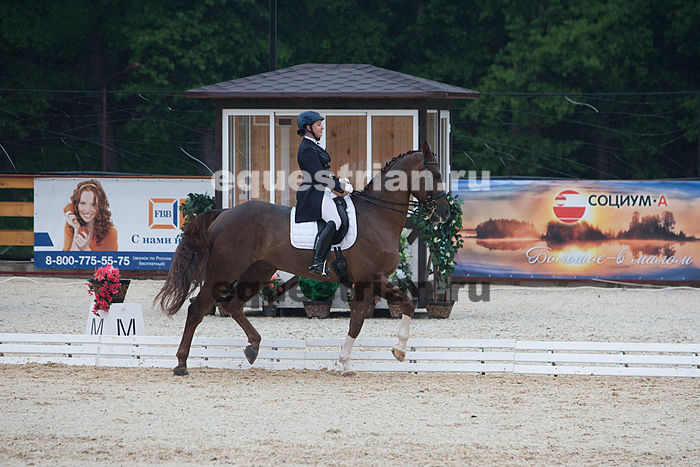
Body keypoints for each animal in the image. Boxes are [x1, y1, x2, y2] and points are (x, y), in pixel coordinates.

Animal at [155, 142, 450, 376]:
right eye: (435, 175)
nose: (444, 213)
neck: (377, 215)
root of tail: (225, 213)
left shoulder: (370, 281)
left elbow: (388, 311)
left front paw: (384, 354)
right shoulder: (370, 279)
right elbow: (366, 318)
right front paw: (363, 359)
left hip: (258, 271)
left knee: (233, 304)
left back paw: (253, 347)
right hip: (224, 270)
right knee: (198, 308)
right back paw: (181, 364)